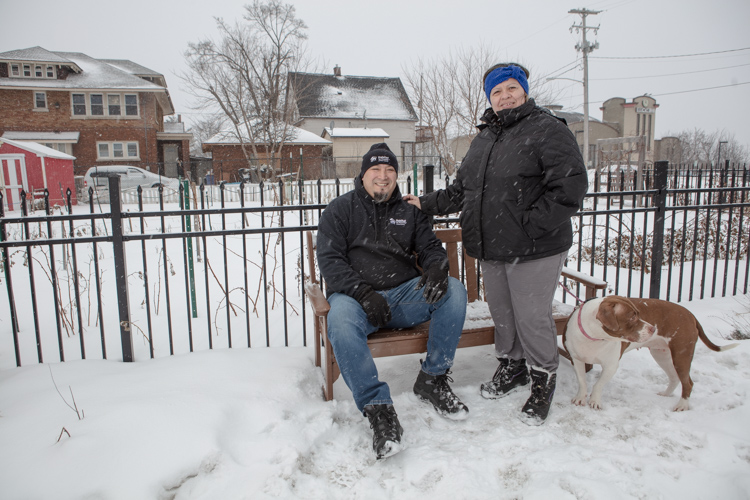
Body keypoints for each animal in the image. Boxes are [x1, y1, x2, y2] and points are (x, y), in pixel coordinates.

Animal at [564, 296, 740, 410]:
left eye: (639, 313)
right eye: (632, 317)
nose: (653, 328)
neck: (594, 337)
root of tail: (691, 315)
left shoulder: (611, 366)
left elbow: (599, 384)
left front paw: (595, 400)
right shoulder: (577, 359)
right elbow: (582, 381)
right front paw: (580, 397)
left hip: (682, 354)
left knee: (688, 382)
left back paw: (682, 405)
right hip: (662, 354)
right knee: (674, 377)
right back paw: (666, 394)